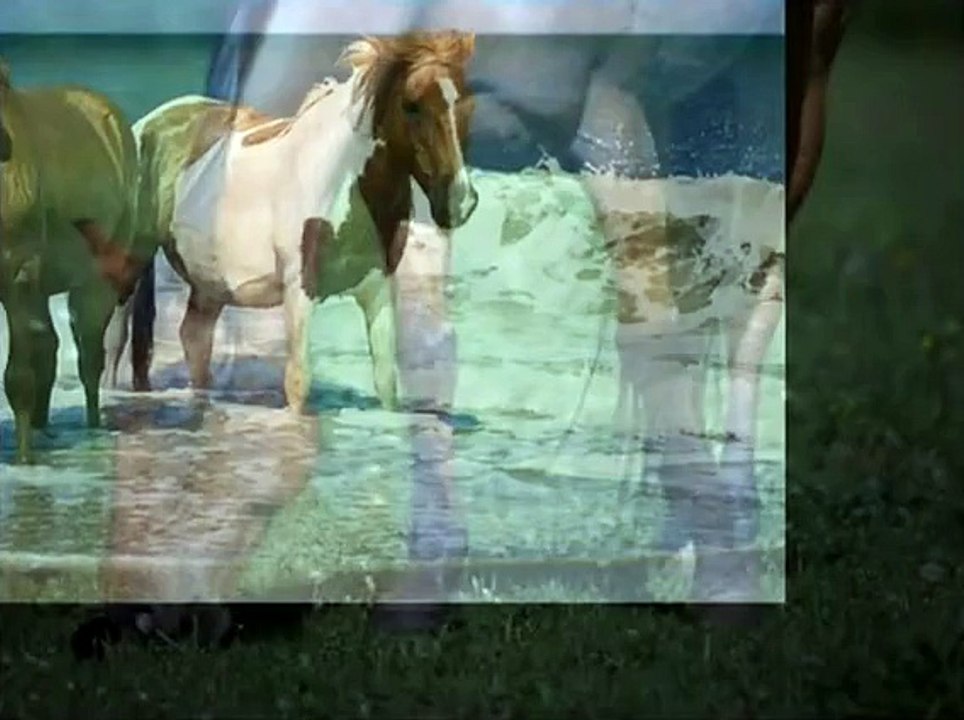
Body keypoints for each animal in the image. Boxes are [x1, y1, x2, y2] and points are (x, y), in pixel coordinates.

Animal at [0, 58, 144, 464]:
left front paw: (25, 460)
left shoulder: (16, 269)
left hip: (93, 280)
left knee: (89, 356)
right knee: (48, 347)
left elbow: (18, 376)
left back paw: (92, 429)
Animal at [108, 31, 478, 414]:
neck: (338, 179)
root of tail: (147, 123)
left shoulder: (377, 287)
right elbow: (298, 382)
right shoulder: (299, 292)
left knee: (194, 339)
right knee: (115, 344)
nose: (461, 201)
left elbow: (386, 381)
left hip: (210, 284)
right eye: (411, 105)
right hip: (130, 268)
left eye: (464, 102)